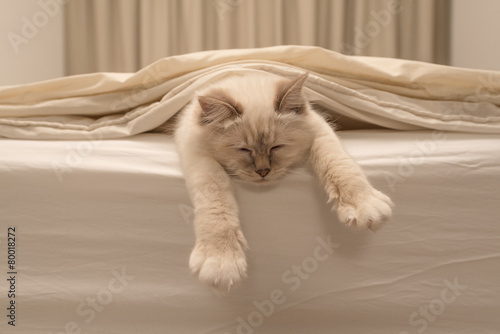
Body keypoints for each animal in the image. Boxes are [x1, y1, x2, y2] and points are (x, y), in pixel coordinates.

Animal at [174, 72, 392, 290]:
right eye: (244, 150)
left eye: (276, 147)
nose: (263, 172)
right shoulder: (199, 156)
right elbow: (216, 200)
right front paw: (221, 263)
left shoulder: (319, 132)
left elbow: (339, 164)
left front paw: (366, 208)